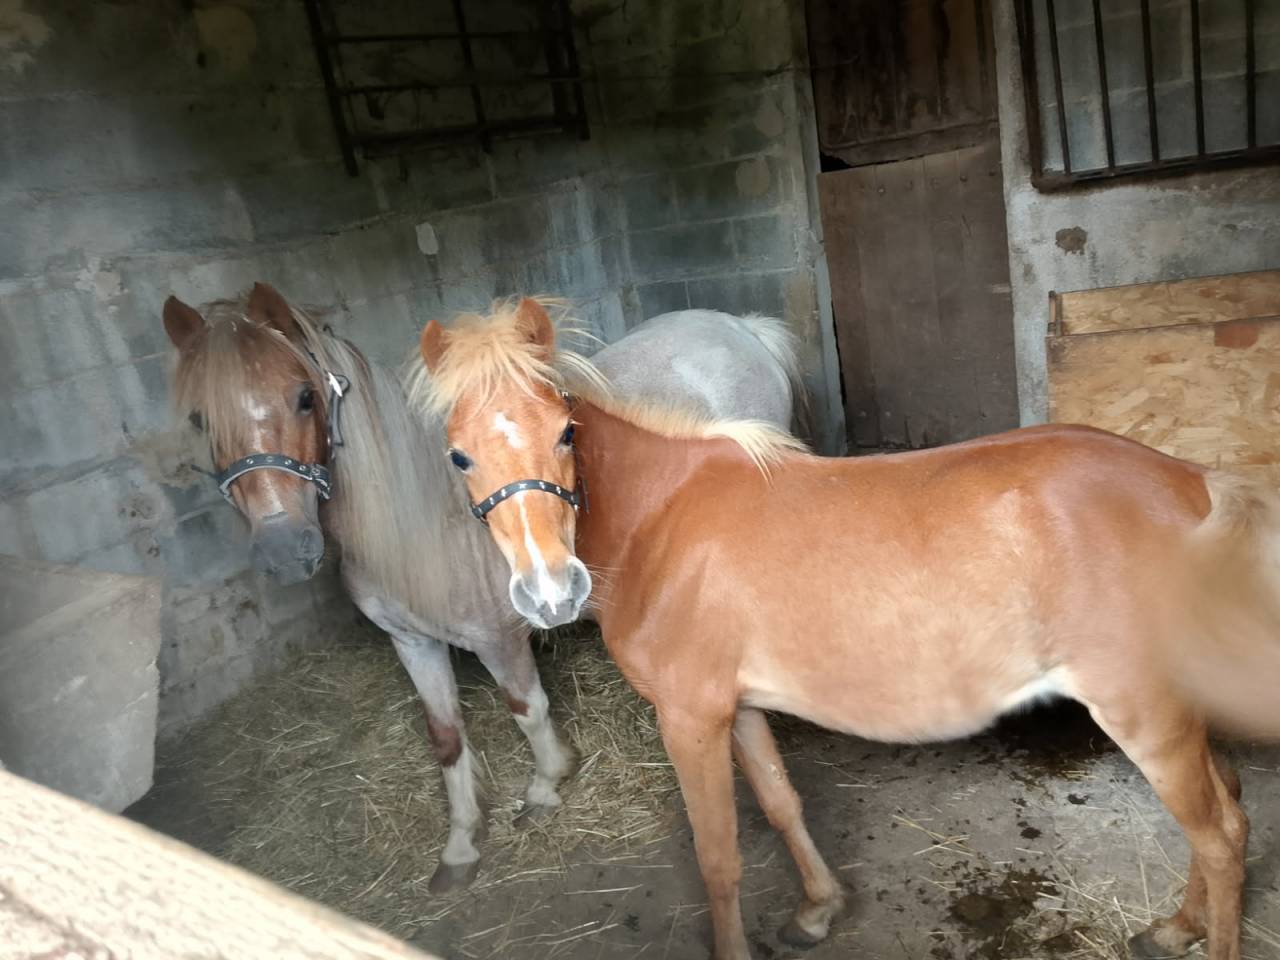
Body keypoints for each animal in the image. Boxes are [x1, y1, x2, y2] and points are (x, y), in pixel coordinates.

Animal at [161, 284, 803, 892]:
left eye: (303, 396)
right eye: (198, 420)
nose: (283, 549)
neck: (426, 521)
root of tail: (736, 326)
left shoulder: (500, 638)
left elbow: (527, 710)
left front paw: (546, 786)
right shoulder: (411, 642)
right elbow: (445, 737)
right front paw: (461, 844)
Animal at [413, 296, 1280, 960]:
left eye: (564, 432)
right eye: (458, 457)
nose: (550, 592)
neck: (663, 518)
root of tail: (1193, 482)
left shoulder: (689, 718)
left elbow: (718, 857)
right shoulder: (735, 708)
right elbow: (780, 802)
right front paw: (817, 909)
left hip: (1145, 711)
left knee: (1218, 833)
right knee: (1230, 806)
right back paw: (1177, 927)